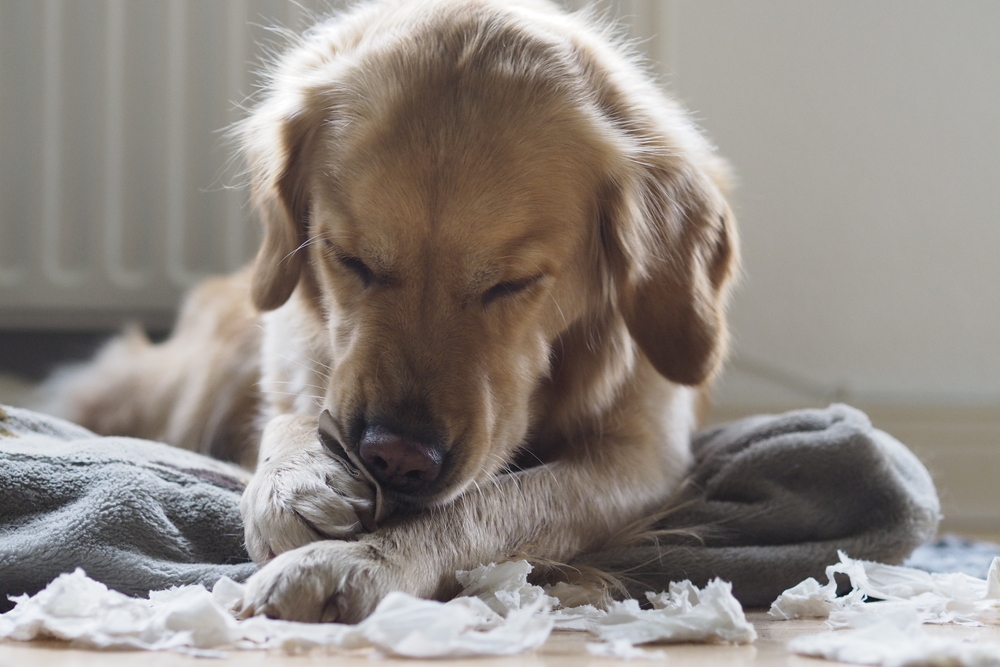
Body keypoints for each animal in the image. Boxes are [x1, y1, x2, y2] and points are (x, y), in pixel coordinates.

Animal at [45, 0, 736, 620]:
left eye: (511, 284)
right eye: (349, 258)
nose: (396, 457)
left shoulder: (640, 457)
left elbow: (493, 506)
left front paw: (356, 562)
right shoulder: (298, 352)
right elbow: (292, 413)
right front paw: (296, 478)